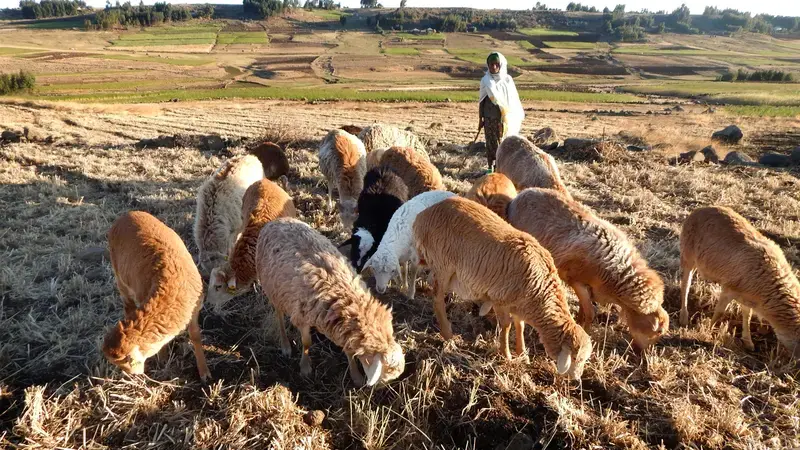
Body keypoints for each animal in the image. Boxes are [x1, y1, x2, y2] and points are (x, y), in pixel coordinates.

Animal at [103, 211, 210, 381]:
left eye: (127, 362)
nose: (134, 375)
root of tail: (127, 214)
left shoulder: (194, 309)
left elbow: (195, 336)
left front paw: (205, 373)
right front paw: (163, 358)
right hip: (120, 278)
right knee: (128, 306)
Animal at [255, 218, 405, 386]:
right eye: (383, 377)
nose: (378, 389)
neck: (344, 298)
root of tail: (276, 221)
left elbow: (349, 349)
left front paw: (356, 376)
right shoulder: (302, 316)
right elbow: (306, 342)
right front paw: (305, 367)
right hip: (273, 289)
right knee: (279, 316)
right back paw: (285, 345)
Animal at [413, 196, 592, 379]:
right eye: (576, 358)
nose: (577, 379)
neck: (541, 291)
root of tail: (422, 216)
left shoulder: (520, 305)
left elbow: (520, 326)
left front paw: (523, 354)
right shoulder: (499, 299)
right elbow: (506, 326)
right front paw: (506, 355)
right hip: (443, 264)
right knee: (437, 299)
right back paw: (448, 335)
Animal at [507, 188, 668, 351]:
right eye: (657, 331)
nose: (643, 353)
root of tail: (524, 193)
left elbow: (584, 309)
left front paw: (579, 322)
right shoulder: (578, 282)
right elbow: (590, 313)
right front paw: (585, 333)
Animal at [679, 206, 800, 355]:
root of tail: (697, 210)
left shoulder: (746, 295)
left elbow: (747, 315)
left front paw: (748, 342)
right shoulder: (728, 288)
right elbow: (720, 312)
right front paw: (708, 331)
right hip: (688, 255)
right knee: (685, 285)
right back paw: (683, 317)